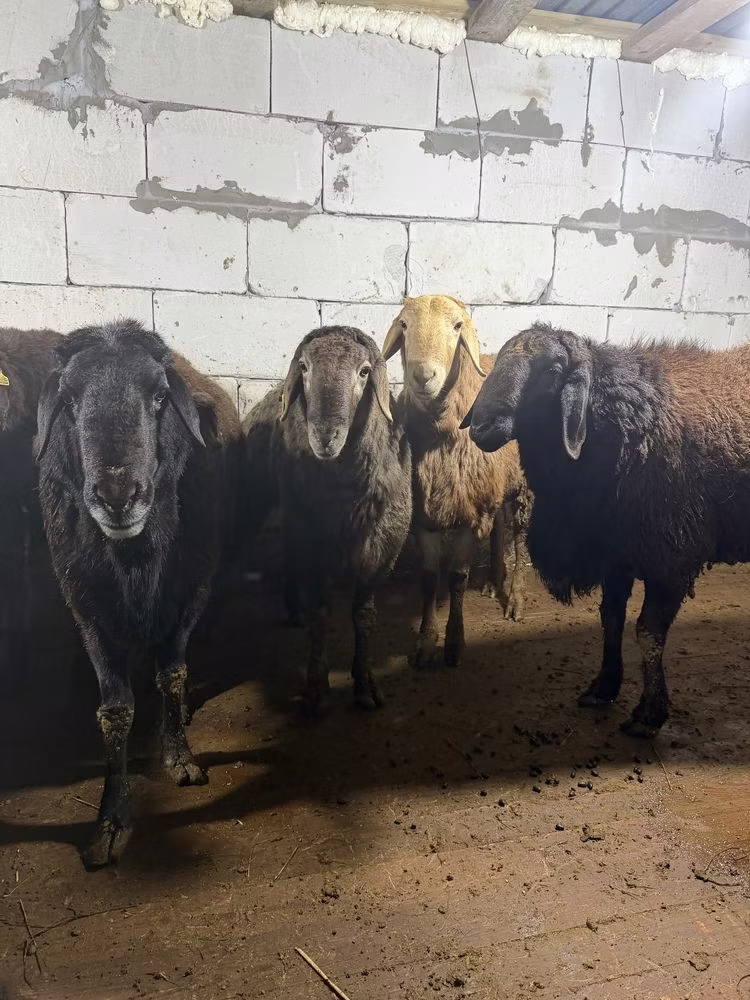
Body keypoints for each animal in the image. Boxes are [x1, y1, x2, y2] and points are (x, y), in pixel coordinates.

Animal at [35, 320, 241, 867]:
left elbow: (172, 674)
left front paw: (180, 756)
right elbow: (115, 711)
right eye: (69, 397)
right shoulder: (86, 608)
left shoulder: (190, 591)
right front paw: (110, 820)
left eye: (159, 396)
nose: (117, 495)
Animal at [247, 325, 412, 714]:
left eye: (364, 372)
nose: (324, 438)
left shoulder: (382, 548)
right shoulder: (312, 542)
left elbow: (363, 616)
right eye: (304, 367)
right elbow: (321, 612)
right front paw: (316, 687)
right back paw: (294, 608)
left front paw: (364, 684)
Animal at [382, 295, 530, 670]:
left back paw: (516, 598)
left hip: (524, 485)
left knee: (521, 539)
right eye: (404, 324)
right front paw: (425, 642)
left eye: (457, 326)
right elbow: (429, 579)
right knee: (500, 526)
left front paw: (454, 643)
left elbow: (457, 579)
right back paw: (494, 580)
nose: (423, 376)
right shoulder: (424, 516)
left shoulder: (468, 514)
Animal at [465, 323, 750, 737]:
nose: (481, 426)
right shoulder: (617, 552)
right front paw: (604, 686)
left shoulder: (673, 556)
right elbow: (611, 618)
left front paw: (649, 714)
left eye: (552, 371)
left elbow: (648, 633)